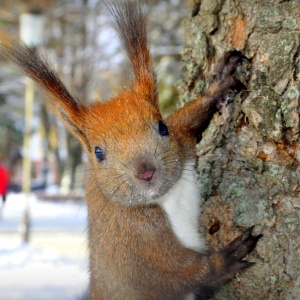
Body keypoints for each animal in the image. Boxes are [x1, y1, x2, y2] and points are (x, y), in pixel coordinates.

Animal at [1, 1, 262, 298]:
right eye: (98, 153)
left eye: (162, 128)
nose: (146, 172)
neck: (165, 198)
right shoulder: (135, 247)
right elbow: (181, 274)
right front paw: (226, 258)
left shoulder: (181, 140)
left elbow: (187, 117)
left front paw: (218, 86)